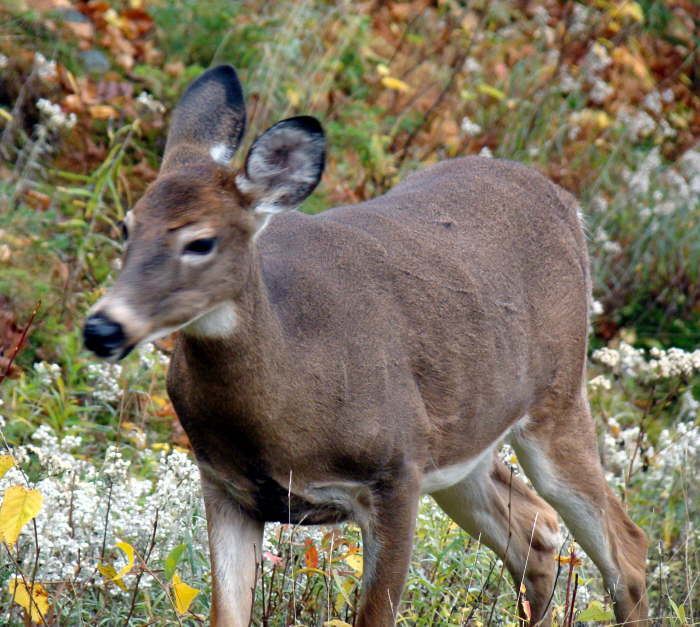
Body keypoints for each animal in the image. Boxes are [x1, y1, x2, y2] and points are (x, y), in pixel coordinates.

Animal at [83, 65, 648, 626]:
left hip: (558, 396)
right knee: (537, 531)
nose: (102, 328)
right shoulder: (224, 484)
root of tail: (569, 205)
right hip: (463, 441)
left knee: (626, 545)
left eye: (200, 241)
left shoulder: (394, 475)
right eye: (127, 226)